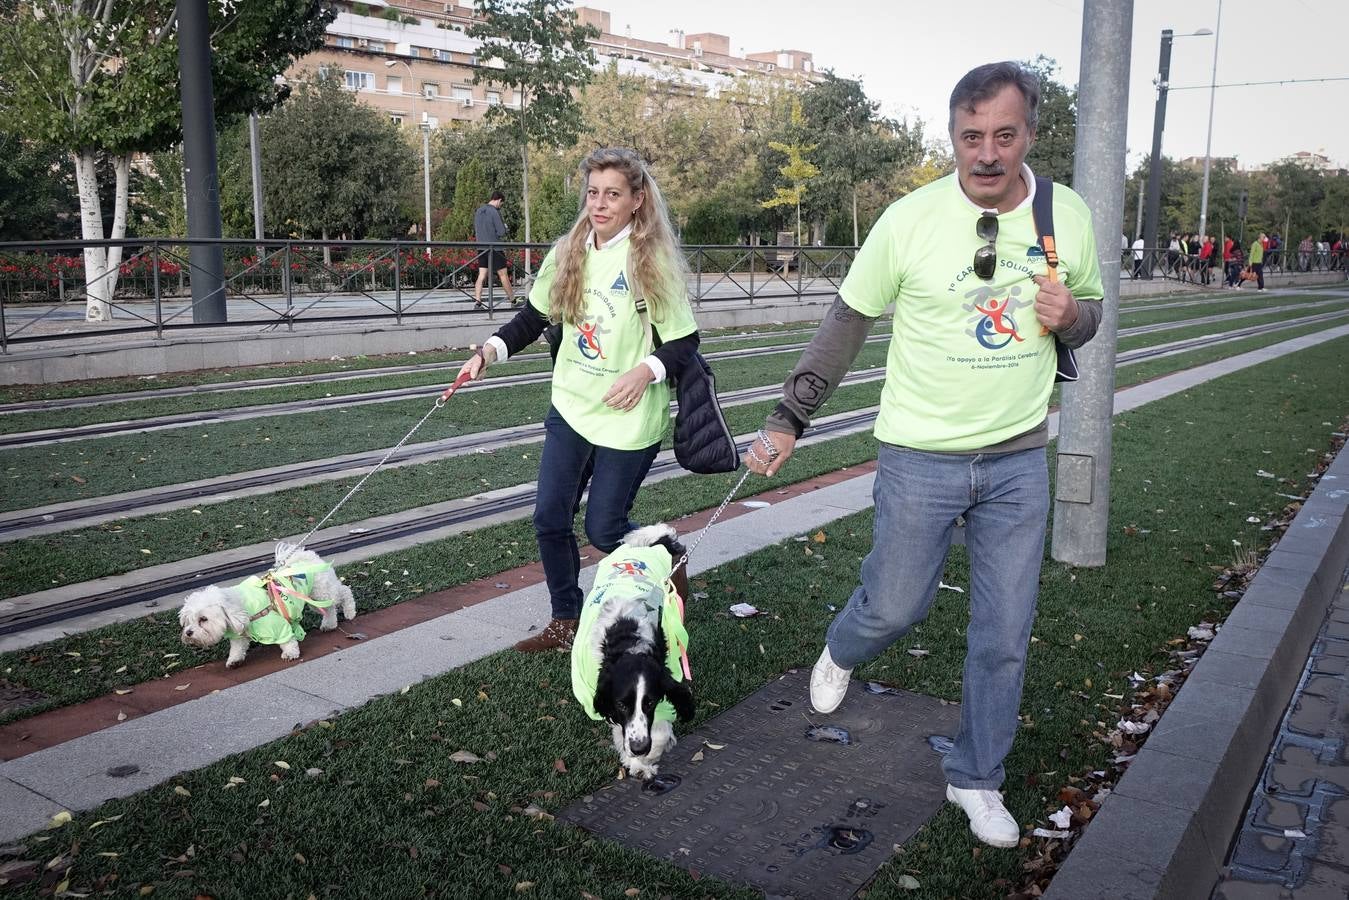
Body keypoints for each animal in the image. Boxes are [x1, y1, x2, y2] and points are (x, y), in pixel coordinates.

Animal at [180, 542, 358, 669]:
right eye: (188, 621)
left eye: (203, 619)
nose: (188, 633)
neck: (240, 608)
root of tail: (306, 556)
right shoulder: (239, 634)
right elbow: (237, 648)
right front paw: (234, 660)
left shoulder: (277, 625)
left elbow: (287, 641)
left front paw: (290, 654)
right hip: (315, 598)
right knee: (329, 609)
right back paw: (330, 624)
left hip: (322, 592)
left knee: (344, 592)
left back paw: (350, 612)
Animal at [571, 523, 696, 777]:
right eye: (621, 704)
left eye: (650, 702)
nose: (639, 748)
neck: (626, 640)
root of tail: (654, 539)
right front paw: (636, 759)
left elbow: (660, 731)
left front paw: (644, 760)